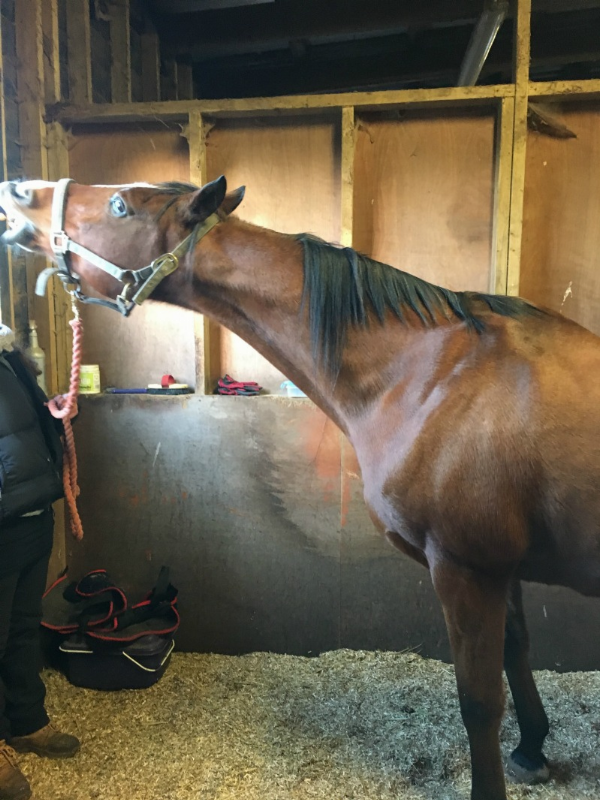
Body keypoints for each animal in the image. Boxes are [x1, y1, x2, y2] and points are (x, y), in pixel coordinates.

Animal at [1, 177, 600, 800]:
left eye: (121, 205)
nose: (20, 190)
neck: (433, 372)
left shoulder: (465, 567)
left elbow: (479, 702)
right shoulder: (499, 569)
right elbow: (516, 651)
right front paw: (532, 749)